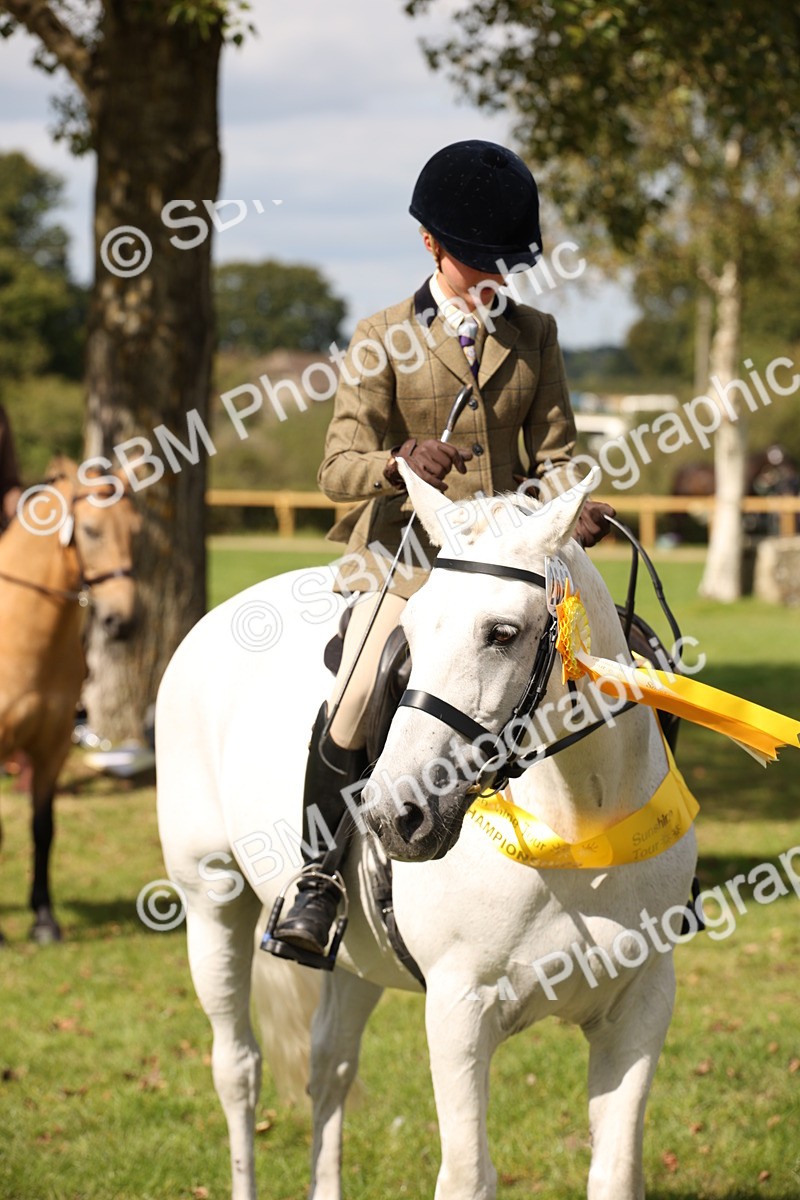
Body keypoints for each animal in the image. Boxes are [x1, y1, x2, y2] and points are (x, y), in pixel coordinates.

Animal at [0, 458, 140, 943]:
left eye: (135, 531)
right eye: (92, 531)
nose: (122, 621)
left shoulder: (53, 745)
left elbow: (43, 828)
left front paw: (43, 919)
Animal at [155, 466, 697, 1200]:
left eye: (502, 632)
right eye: (410, 630)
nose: (394, 815)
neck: (576, 831)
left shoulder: (639, 1008)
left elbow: (614, 1172)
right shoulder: (459, 1009)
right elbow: (467, 1174)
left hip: (356, 955)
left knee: (330, 1064)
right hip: (213, 902)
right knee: (238, 1067)